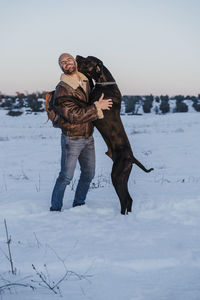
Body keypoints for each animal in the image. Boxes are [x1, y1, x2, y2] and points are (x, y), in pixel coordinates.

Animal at [76, 54, 153, 213]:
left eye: (87, 60)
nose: (77, 56)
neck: (105, 82)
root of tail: (131, 157)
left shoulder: (91, 104)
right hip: (123, 176)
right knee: (129, 199)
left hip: (117, 175)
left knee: (124, 199)